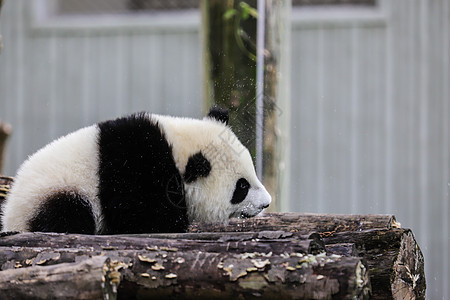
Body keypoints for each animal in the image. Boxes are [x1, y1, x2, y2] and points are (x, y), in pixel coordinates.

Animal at [0, 108, 270, 234]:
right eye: (242, 186)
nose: (266, 203)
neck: (175, 149)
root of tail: (10, 215)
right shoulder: (138, 169)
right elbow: (141, 213)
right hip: (54, 192)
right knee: (66, 212)